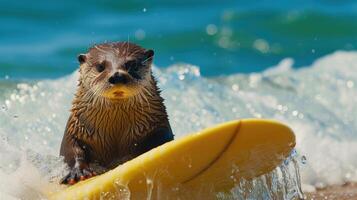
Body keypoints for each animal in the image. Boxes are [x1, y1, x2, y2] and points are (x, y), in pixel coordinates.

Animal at [59, 41, 172, 184]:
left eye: (133, 65)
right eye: (100, 66)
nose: (117, 76)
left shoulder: (159, 124)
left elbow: (162, 139)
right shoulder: (76, 127)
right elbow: (71, 150)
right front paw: (78, 171)